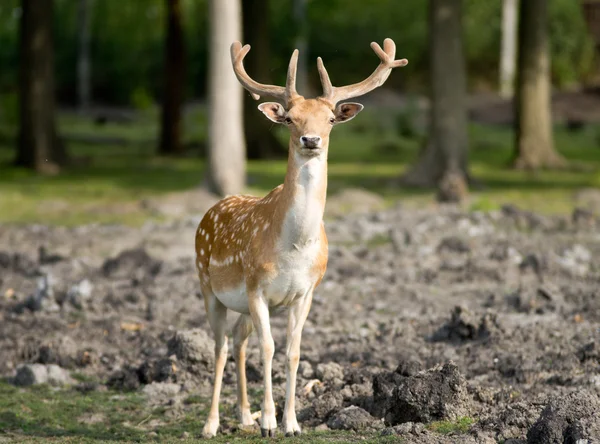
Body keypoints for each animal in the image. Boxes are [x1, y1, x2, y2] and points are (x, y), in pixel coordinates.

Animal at [197, 37, 408, 438]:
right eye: (290, 119)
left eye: (330, 119)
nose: (311, 139)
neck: (293, 248)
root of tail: (211, 209)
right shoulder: (256, 287)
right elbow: (268, 348)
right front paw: (269, 422)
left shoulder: (306, 292)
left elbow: (293, 351)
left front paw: (291, 423)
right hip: (207, 284)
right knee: (219, 345)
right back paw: (212, 424)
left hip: (240, 304)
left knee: (238, 340)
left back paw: (244, 417)